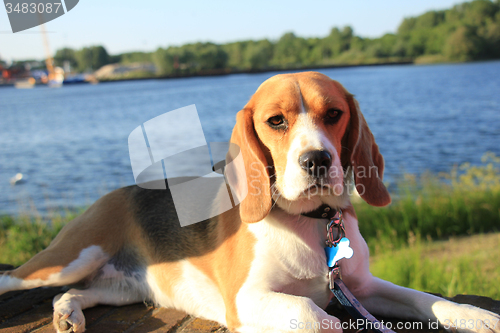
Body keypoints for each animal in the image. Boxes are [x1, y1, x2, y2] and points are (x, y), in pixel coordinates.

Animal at [0, 71, 500, 330]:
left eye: (334, 113)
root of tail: (116, 192)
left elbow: (425, 299)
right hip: (68, 258)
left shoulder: (361, 287)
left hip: (123, 287)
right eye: (276, 121)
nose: (317, 160)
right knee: (21, 279)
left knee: (72, 293)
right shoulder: (246, 300)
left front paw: (477, 316)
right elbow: (313, 313)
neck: (312, 223)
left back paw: (67, 314)